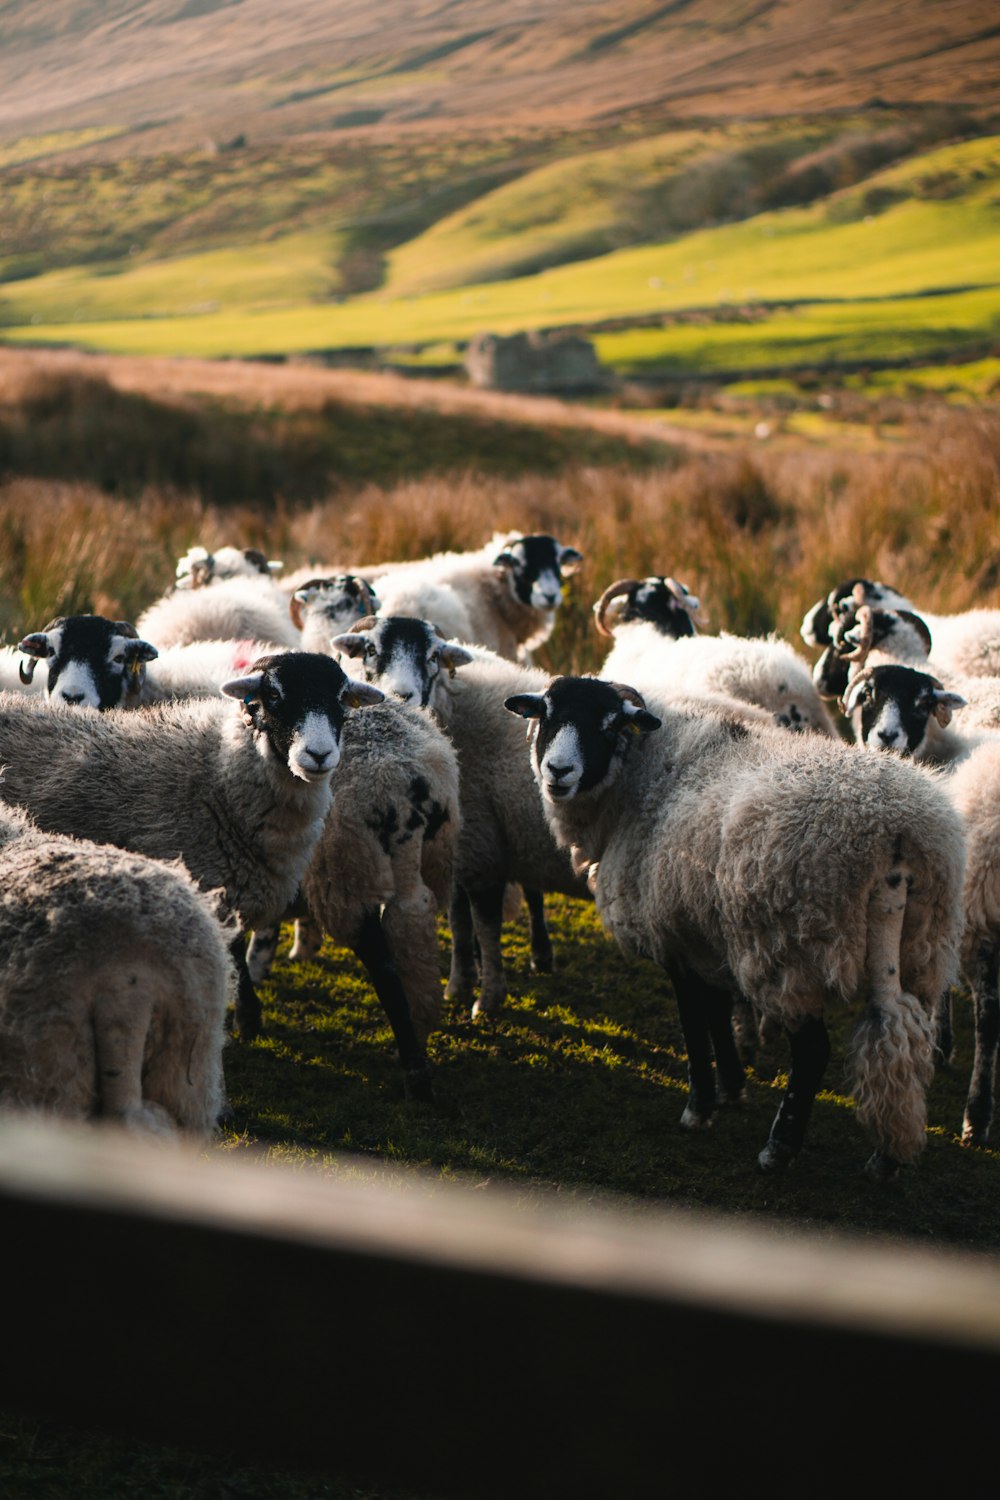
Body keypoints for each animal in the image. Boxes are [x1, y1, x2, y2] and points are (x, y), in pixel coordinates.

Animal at [0, 657, 383, 1044]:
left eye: (341, 699)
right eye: (273, 695)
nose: (319, 755)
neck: (219, 774)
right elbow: (234, 955)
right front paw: (247, 1017)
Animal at [332, 612, 590, 1020]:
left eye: (434, 656)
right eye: (370, 650)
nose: (403, 695)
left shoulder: (479, 843)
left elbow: (484, 923)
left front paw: (487, 997)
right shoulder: (458, 842)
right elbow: (458, 917)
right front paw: (462, 980)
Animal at [503, 675, 965, 1176]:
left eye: (610, 724)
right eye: (546, 713)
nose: (558, 771)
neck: (645, 778)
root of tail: (894, 826)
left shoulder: (673, 937)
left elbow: (693, 1022)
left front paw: (700, 1108)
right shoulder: (703, 933)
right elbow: (717, 1011)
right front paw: (732, 1087)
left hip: (791, 949)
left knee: (813, 1050)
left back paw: (778, 1148)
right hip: (922, 943)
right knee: (899, 1031)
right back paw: (887, 1157)